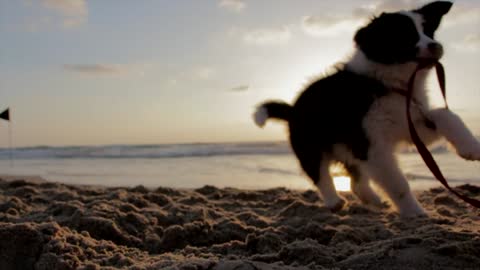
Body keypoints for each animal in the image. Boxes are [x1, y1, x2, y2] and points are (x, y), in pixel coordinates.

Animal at [253, 1, 478, 217]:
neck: (387, 83)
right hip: (311, 146)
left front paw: (470, 146)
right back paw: (334, 201)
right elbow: (397, 183)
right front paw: (414, 212)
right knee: (320, 174)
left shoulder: (410, 121)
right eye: (404, 35)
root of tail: (293, 110)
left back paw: (373, 200)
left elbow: (445, 114)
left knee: (355, 180)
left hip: (349, 149)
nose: (435, 46)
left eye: (428, 31)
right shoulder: (373, 144)